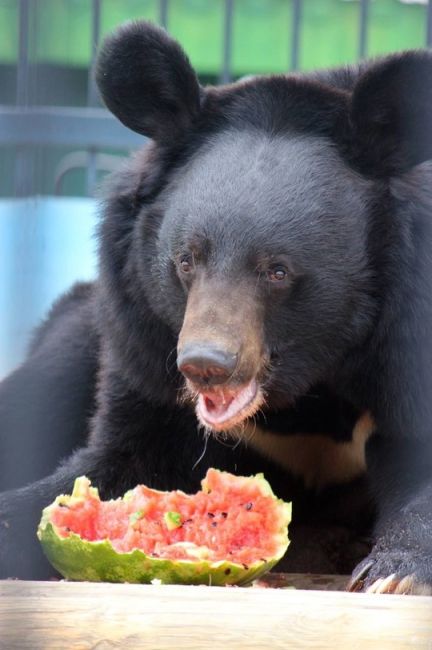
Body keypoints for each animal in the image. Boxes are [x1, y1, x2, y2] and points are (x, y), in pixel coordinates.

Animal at [0, 20, 432, 588]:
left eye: (277, 271)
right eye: (186, 260)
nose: (205, 364)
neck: (305, 386)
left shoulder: (409, 328)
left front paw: (394, 572)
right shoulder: (143, 340)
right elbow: (122, 458)